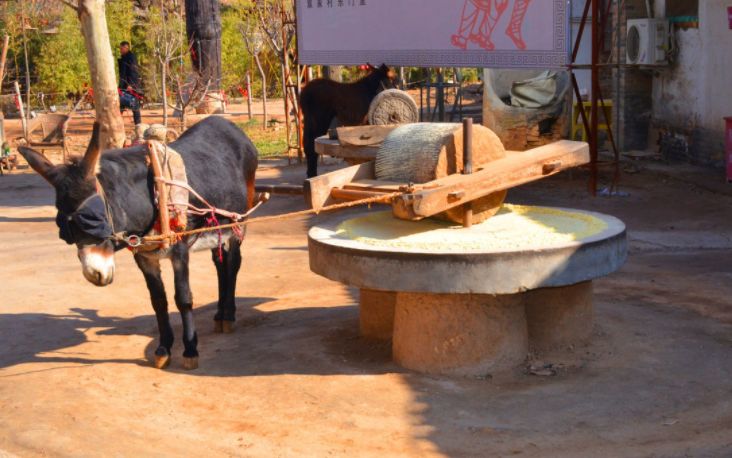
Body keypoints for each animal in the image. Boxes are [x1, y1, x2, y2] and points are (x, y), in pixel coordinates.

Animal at [18, 116, 258, 370]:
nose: (94, 274)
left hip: (238, 222)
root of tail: (229, 126)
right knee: (220, 265)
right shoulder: (144, 256)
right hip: (216, 230)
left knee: (233, 264)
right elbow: (158, 301)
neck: (149, 196)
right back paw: (220, 315)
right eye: (65, 229)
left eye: (93, 219)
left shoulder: (180, 251)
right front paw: (163, 349)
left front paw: (190, 351)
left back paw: (229, 316)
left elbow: (183, 298)